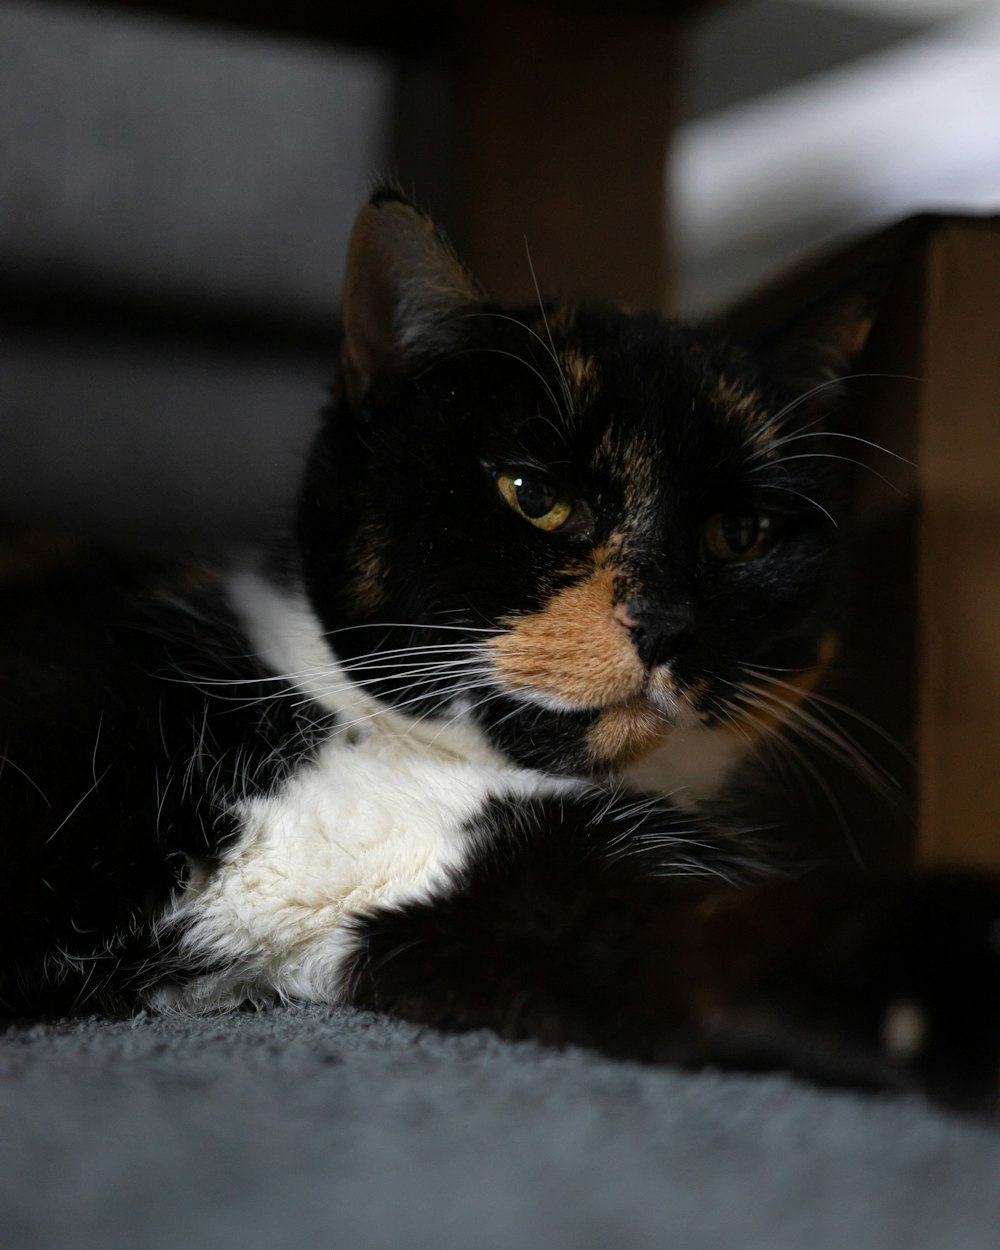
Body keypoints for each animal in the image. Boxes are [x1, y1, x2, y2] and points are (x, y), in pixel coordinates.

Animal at [1, 190, 1000, 1110]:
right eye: (533, 495)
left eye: (741, 534)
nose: (665, 622)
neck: (399, 765)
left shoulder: (538, 884)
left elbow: (708, 943)